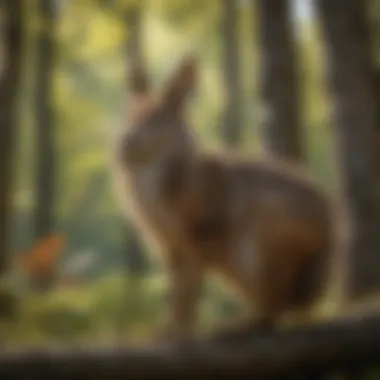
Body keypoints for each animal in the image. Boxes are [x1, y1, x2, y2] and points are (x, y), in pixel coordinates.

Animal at [113, 58, 336, 342]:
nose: (123, 146)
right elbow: (179, 291)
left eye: (156, 118)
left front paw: (176, 334)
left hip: (259, 249)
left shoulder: (198, 237)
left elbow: (188, 290)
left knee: (274, 307)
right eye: (128, 115)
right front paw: (166, 331)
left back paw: (234, 327)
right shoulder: (173, 246)